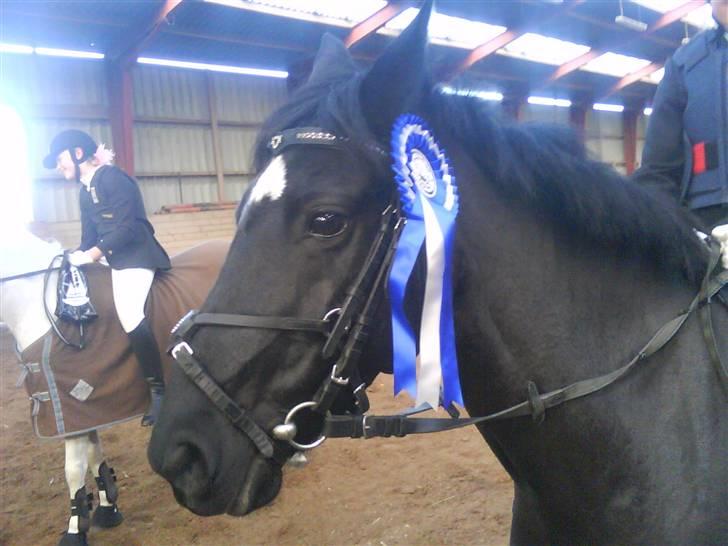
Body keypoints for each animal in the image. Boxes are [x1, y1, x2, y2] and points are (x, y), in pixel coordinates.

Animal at [0, 228, 228, 546]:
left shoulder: (72, 410)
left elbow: (72, 471)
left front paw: (74, 530)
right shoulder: (88, 410)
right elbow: (95, 457)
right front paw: (108, 509)